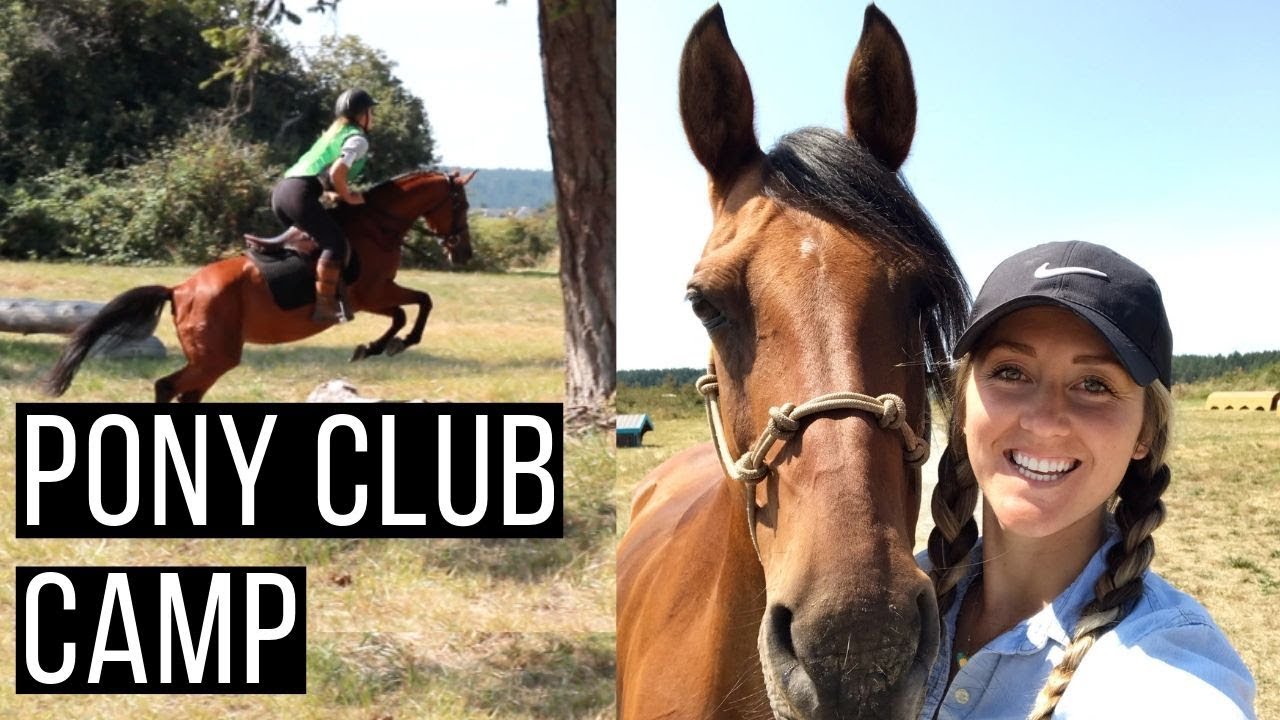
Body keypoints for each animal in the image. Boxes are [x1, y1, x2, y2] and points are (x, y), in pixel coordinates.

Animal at [43, 169, 475, 402]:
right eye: (462, 206)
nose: (464, 254)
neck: (377, 224)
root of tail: (179, 289)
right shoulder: (372, 292)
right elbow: (417, 305)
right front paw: (386, 345)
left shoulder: (376, 294)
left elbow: (411, 307)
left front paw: (375, 346)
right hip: (216, 356)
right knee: (169, 386)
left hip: (212, 358)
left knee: (186, 392)